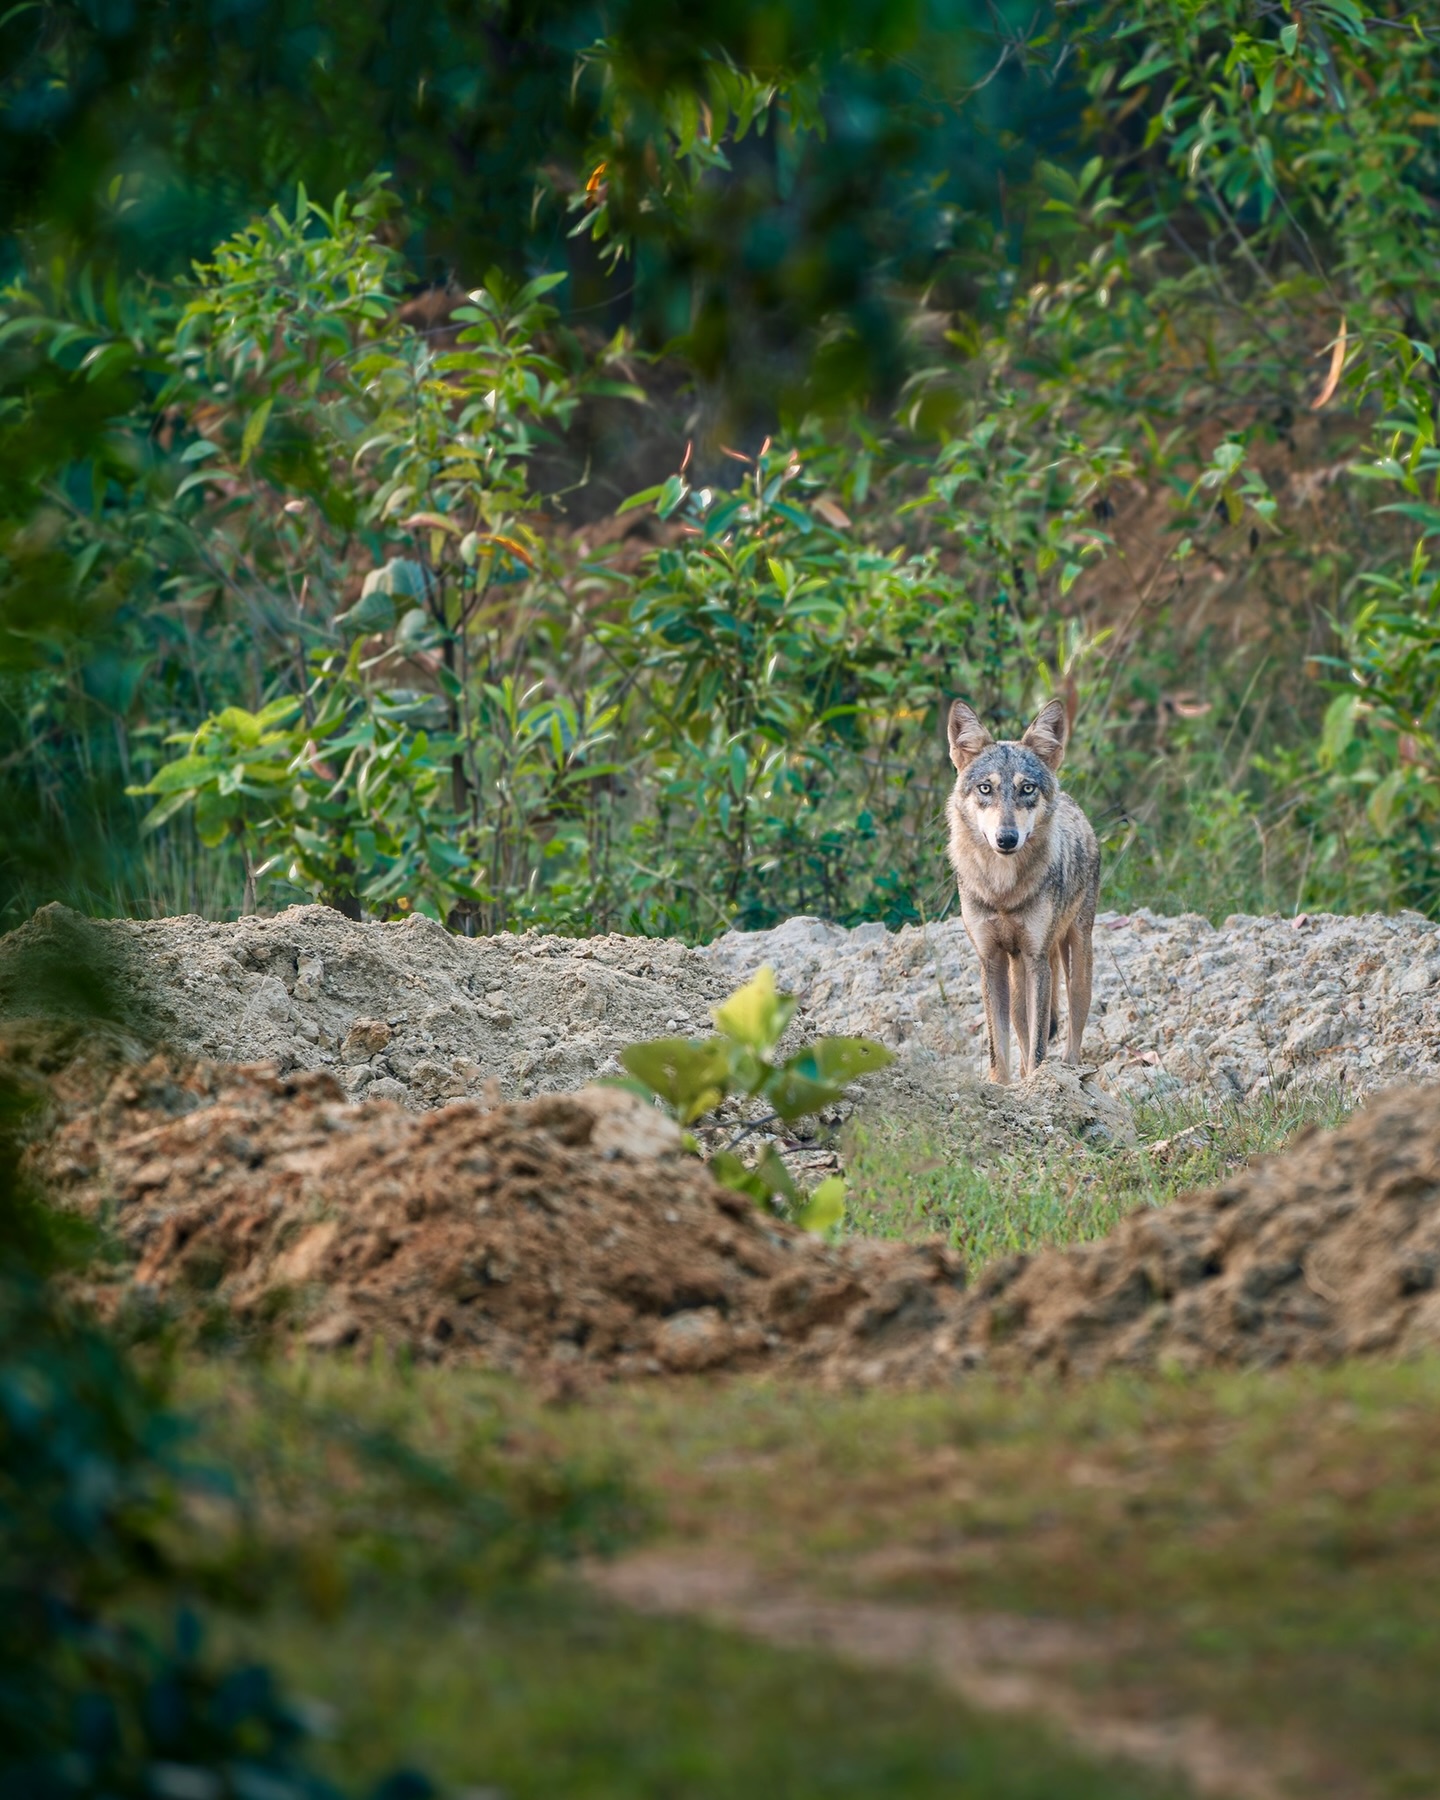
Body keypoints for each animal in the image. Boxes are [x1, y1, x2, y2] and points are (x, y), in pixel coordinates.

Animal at [945, 696, 1100, 1084]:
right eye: (985, 788)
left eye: (1026, 788)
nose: (1006, 838)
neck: (1003, 891)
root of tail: (1072, 802)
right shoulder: (991, 960)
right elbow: (998, 1046)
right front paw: (1002, 1088)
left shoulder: (1036, 960)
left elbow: (1039, 1047)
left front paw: (1037, 1085)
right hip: (1017, 978)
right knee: (1022, 1027)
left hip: (1076, 958)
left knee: (1073, 1026)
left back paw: (1073, 1074)